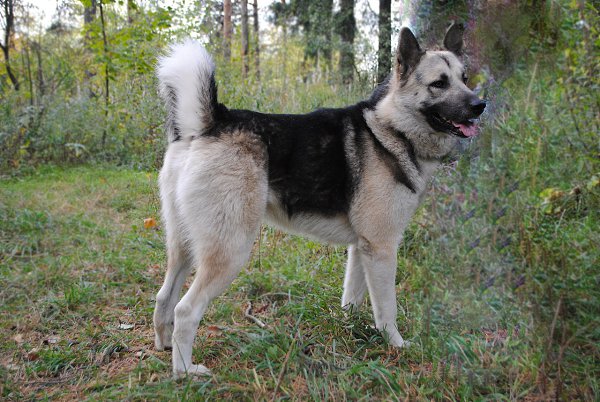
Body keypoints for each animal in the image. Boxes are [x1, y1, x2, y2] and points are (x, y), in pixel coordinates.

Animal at [152, 23, 486, 378]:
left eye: (465, 78)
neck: (392, 130)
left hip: (184, 247)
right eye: (439, 83)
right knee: (185, 310)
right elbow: (387, 309)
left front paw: (348, 331)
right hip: (231, 250)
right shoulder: (382, 249)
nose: (480, 105)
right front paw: (395, 345)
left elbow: (352, 299)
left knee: (164, 298)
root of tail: (211, 123)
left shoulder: (362, 248)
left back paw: (166, 346)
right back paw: (186, 371)